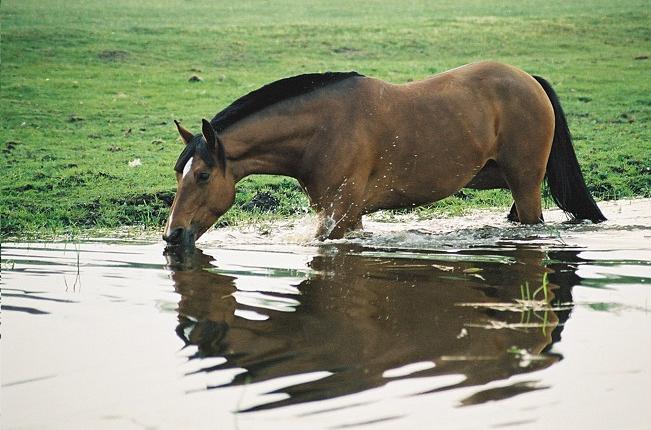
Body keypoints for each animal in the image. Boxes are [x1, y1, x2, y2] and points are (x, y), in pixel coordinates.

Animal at [163, 61, 608, 249]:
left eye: (203, 175)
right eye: (178, 173)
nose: (172, 235)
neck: (321, 129)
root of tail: (528, 79)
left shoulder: (342, 216)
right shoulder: (339, 214)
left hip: (527, 186)